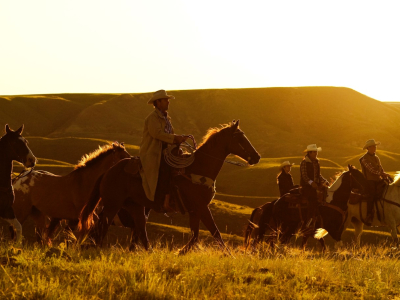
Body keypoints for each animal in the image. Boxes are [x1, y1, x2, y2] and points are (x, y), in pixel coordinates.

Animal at [78, 119, 260, 253]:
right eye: (240, 138)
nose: (256, 157)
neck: (199, 168)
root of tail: (108, 171)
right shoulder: (202, 207)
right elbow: (215, 233)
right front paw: (230, 256)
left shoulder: (195, 210)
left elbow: (196, 235)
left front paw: (180, 253)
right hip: (112, 205)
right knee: (102, 225)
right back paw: (95, 247)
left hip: (135, 206)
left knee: (140, 230)